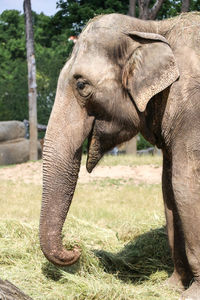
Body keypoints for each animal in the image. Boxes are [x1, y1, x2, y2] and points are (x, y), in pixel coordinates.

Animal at [39, 12, 200, 300]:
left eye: (81, 84)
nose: (75, 247)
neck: (153, 27)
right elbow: (169, 187)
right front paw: (169, 288)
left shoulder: (191, 107)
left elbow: (185, 183)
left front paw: (192, 294)